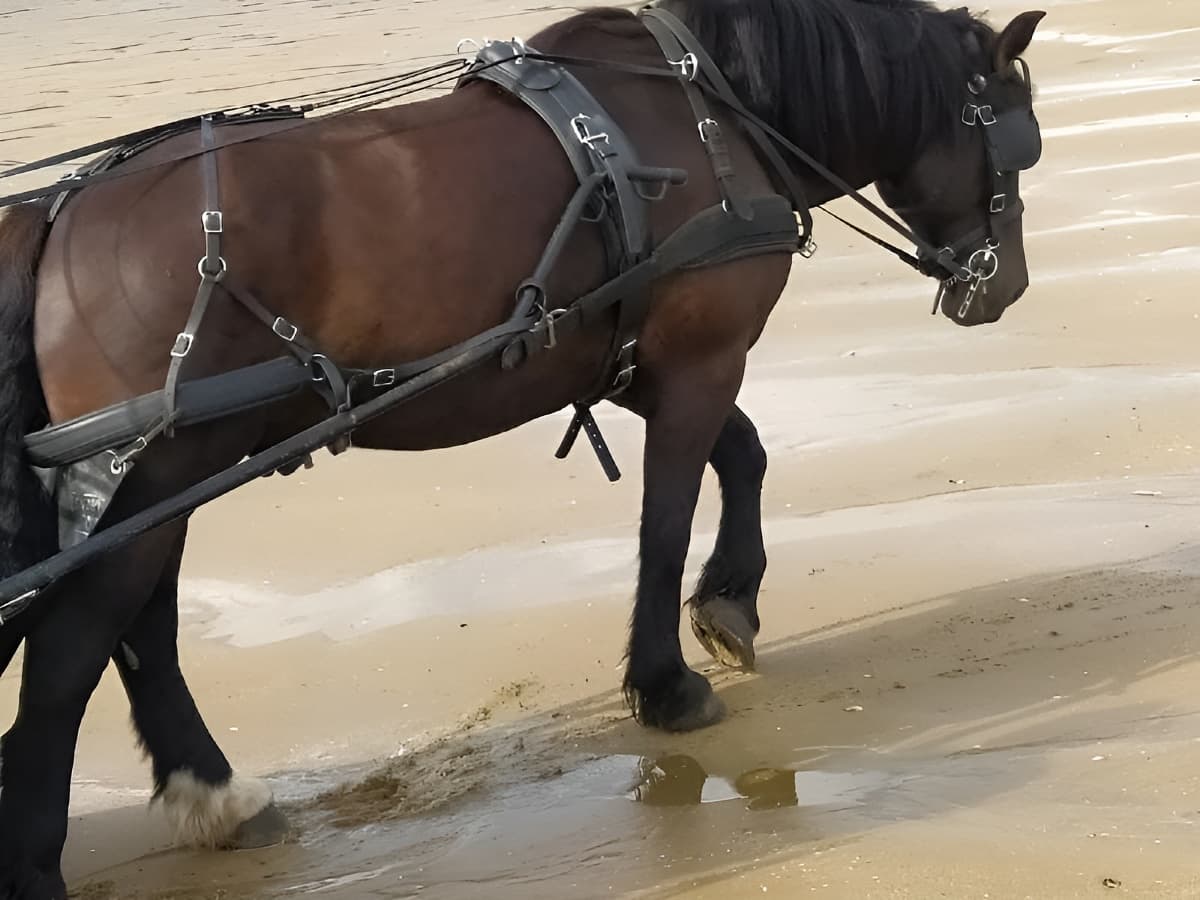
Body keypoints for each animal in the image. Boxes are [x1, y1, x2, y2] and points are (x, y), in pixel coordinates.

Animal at [0, 0, 1045, 895]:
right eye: (1014, 139)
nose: (1006, 288)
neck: (712, 109)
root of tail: (58, 214)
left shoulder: (635, 361)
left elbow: (744, 457)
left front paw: (729, 601)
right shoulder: (703, 358)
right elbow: (666, 522)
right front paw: (667, 684)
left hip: (168, 472)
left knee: (141, 631)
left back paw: (212, 794)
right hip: (163, 464)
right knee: (71, 649)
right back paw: (47, 857)